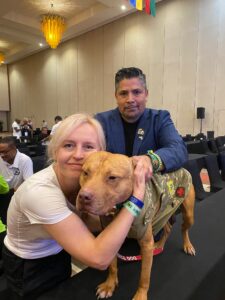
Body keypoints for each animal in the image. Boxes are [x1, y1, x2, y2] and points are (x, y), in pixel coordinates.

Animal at [76, 152, 195, 300]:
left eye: (112, 177)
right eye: (85, 173)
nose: (83, 197)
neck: (119, 209)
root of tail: (182, 168)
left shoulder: (146, 244)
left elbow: (144, 277)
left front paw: (141, 295)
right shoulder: (110, 239)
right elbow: (112, 265)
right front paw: (110, 284)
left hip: (188, 213)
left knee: (184, 228)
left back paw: (187, 245)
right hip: (162, 213)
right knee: (168, 228)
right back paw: (159, 245)